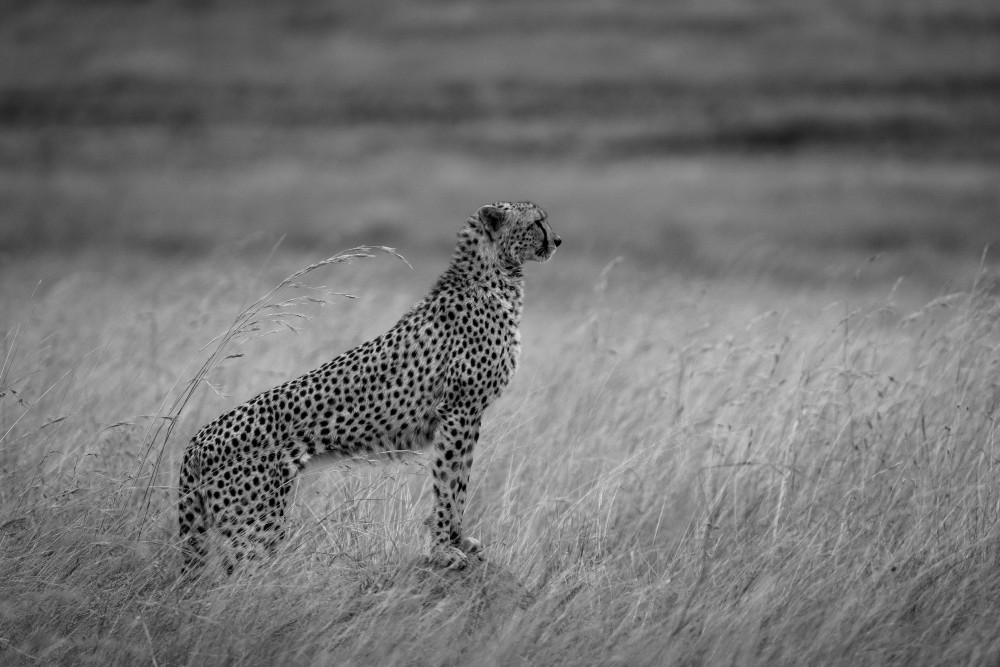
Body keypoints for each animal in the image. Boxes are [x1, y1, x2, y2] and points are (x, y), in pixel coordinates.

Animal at [178, 201, 561, 574]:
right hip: (255, 524)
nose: (558, 240)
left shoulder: (466, 414)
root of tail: (199, 437)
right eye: (537, 222)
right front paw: (444, 550)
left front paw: (457, 542)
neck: (496, 276)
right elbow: (450, 482)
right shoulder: (458, 411)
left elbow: (458, 480)